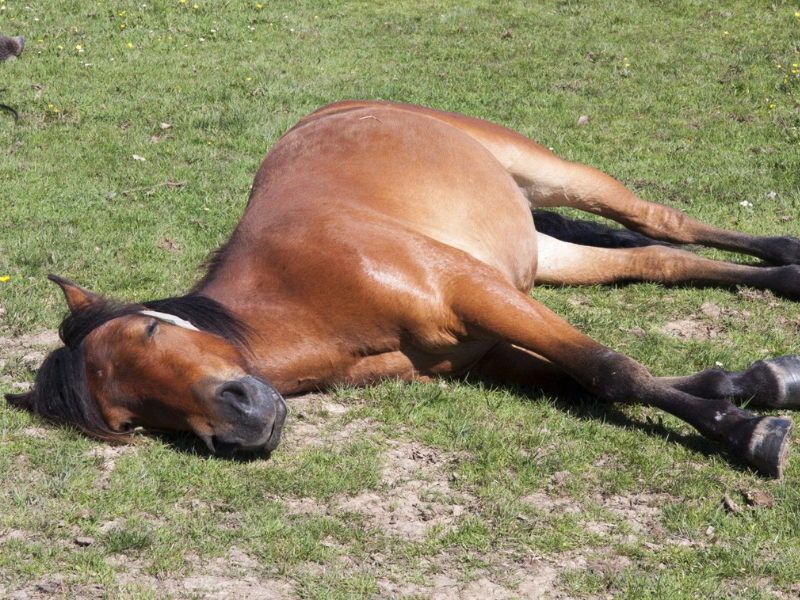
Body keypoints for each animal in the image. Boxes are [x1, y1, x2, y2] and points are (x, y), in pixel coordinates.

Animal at [6, 102, 800, 478]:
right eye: (130, 419)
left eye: (149, 329)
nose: (239, 422)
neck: (310, 296)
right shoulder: (482, 351)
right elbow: (589, 378)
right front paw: (752, 384)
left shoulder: (477, 291)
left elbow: (611, 369)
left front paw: (749, 433)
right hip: (538, 254)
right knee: (660, 257)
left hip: (552, 177)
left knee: (660, 221)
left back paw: (788, 260)